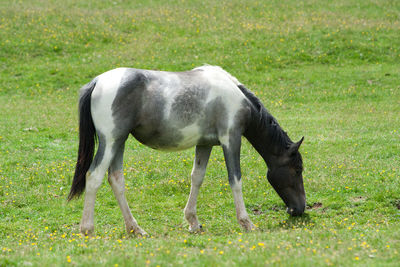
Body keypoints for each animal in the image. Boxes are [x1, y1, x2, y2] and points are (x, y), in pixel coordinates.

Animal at [69, 65, 306, 237]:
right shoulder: (231, 139)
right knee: (94, 176)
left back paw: (135, 228)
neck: (236, 96)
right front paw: (246, 223)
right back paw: (87, 228)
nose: (299, 209)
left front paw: (193, 221)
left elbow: (197, 177)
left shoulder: (205, 144)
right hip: (110, 142)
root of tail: (97, 81)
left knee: (116, 180)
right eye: (297, 170)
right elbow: (235, 180)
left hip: (119, 142)